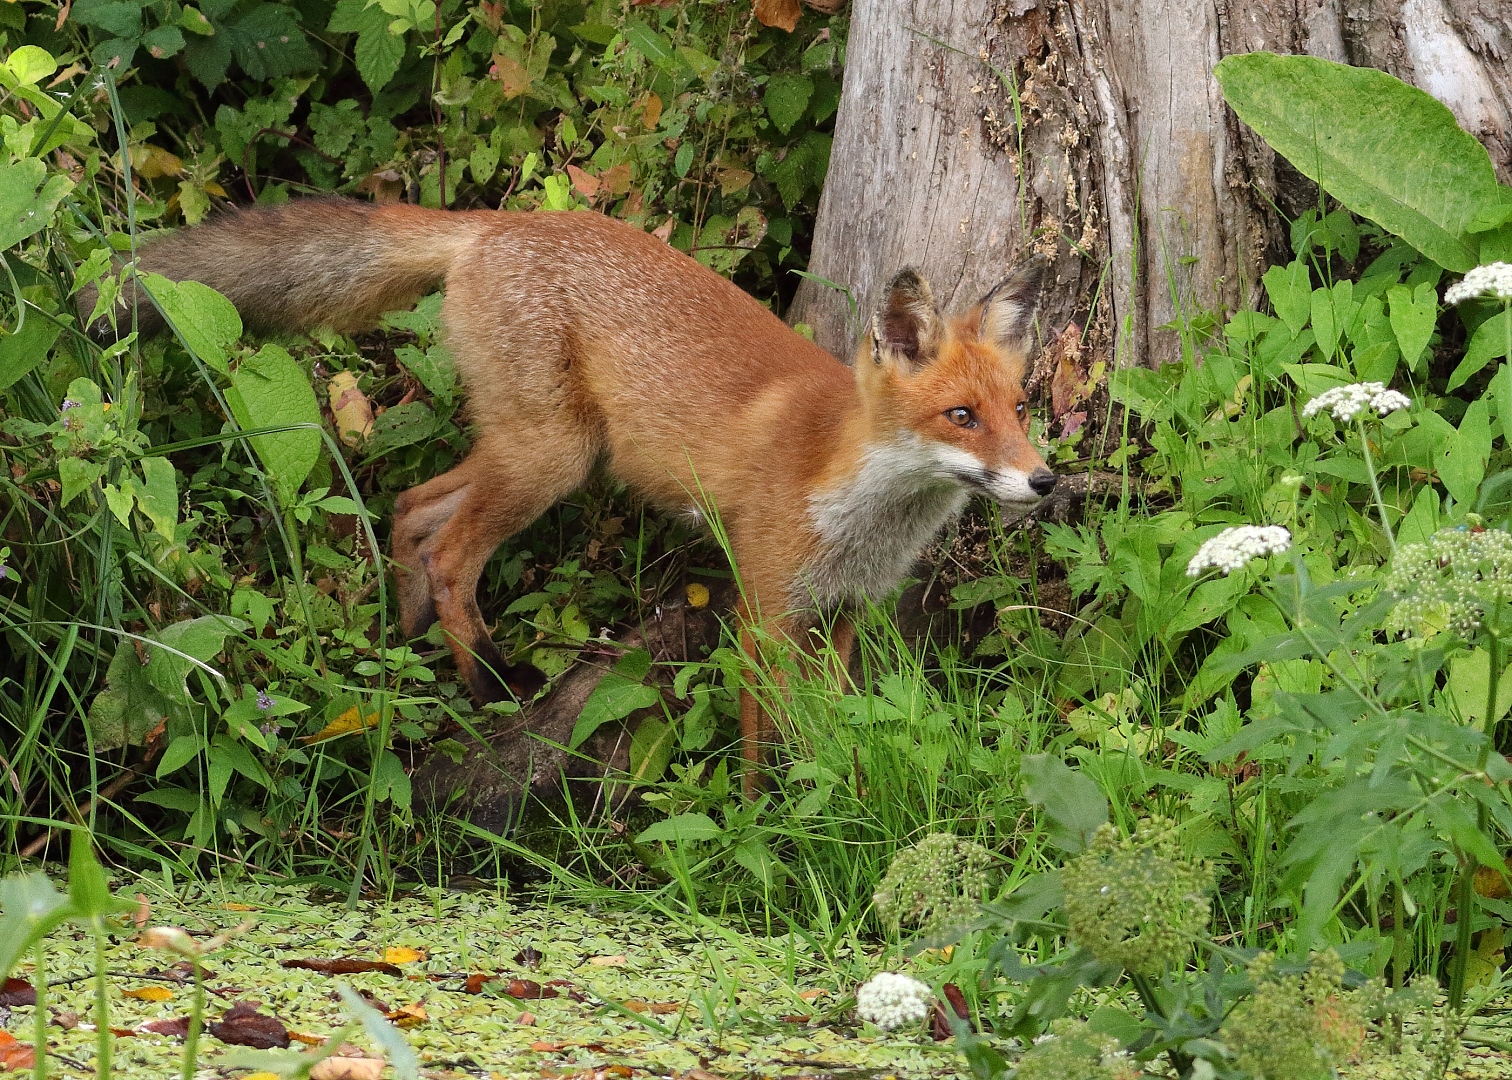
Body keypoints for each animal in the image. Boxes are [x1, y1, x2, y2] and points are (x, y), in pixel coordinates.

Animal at [97, 202, 1052, 786]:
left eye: (1019, 409)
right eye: (961, 416)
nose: (1044, 480)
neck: (858, 502)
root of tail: (498, 221)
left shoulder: (845, 612)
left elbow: (832, 725)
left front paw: (831, 791)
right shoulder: (765, 614)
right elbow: (763, 745)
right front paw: (768, 823)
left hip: (541, 453)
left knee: (411, 510)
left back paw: (405, 654)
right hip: (550, 458)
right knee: (451, 549)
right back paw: (489, 686)